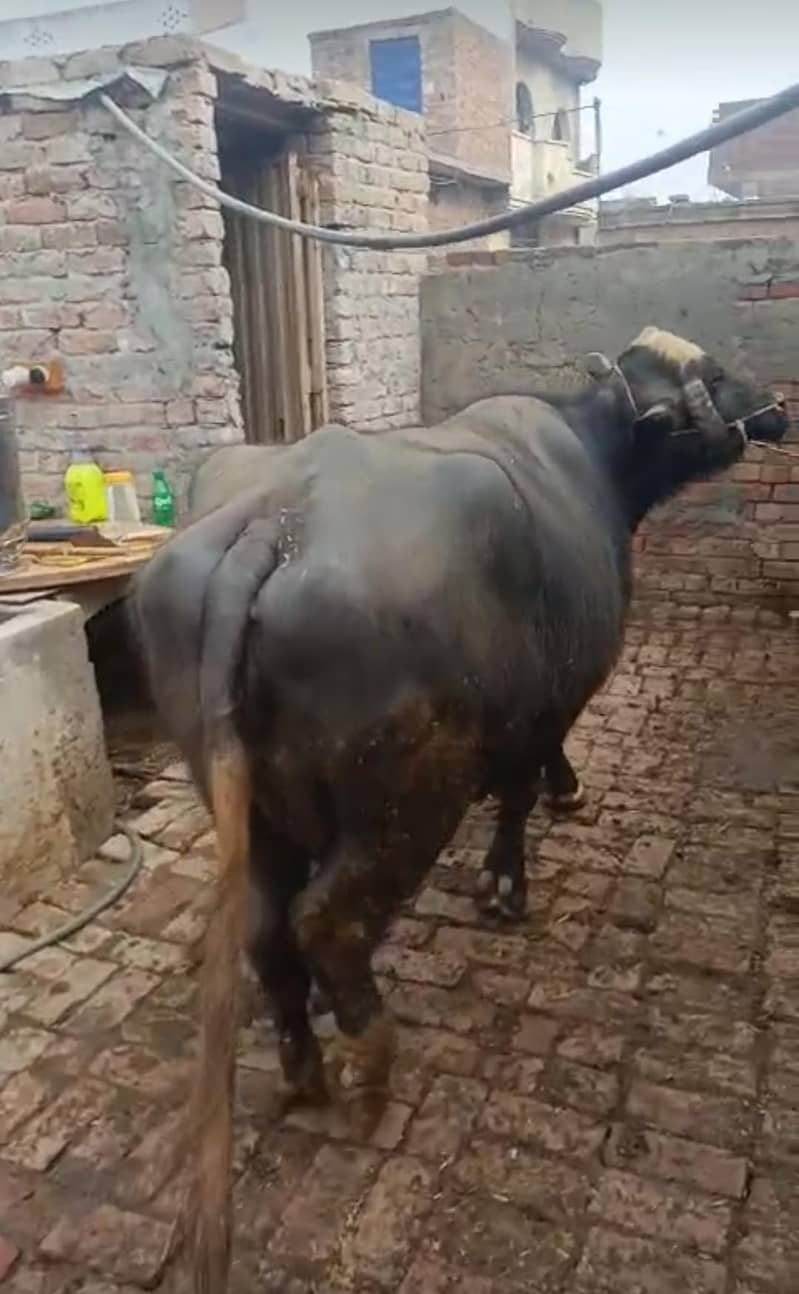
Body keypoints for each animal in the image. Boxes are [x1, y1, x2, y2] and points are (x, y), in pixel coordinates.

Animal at [130, 327, 787, 1292]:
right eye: (716, 377)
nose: (777, 409)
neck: (591, 459)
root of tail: (277, 525)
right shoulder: (550, 703)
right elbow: (519, 790)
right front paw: (521, 862)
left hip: (244, 799)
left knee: (265, 922)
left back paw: (304, 1064)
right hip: (408, 798)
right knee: (326, 919)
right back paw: (369, 1065)